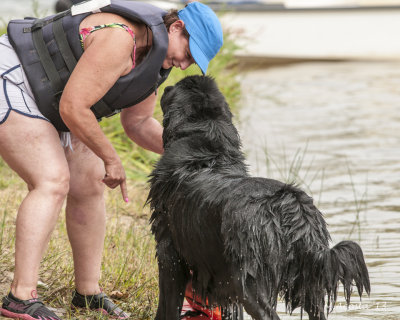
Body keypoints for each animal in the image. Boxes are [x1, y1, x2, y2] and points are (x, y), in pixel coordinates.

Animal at [148, 75, 372, 320]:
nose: (164, 86)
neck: (209, 154)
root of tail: (288, 202)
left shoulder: (169, 250)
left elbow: (167, 305)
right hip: (306, 280)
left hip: (249, 279)